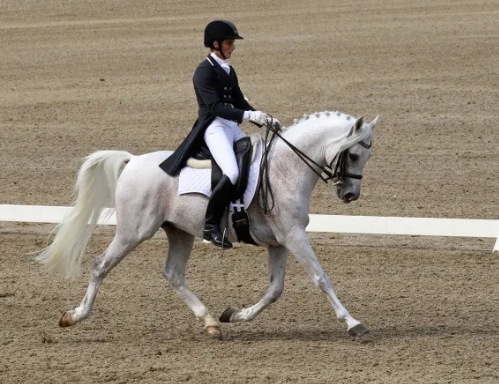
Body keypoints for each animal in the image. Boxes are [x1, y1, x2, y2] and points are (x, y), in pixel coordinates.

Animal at [36, 110, 378, 340]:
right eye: (354, 154)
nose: (350, 195)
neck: (285, 168)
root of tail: (133, 160)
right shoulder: (293, 236)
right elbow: (321, 278)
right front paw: (353, 323)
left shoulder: (279, 241)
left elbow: (275, 290)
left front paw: (235, 314)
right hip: (134, 231)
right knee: (100, 265)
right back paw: (74, 316)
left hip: (179, 231)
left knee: (173, 273)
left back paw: (211, 321)